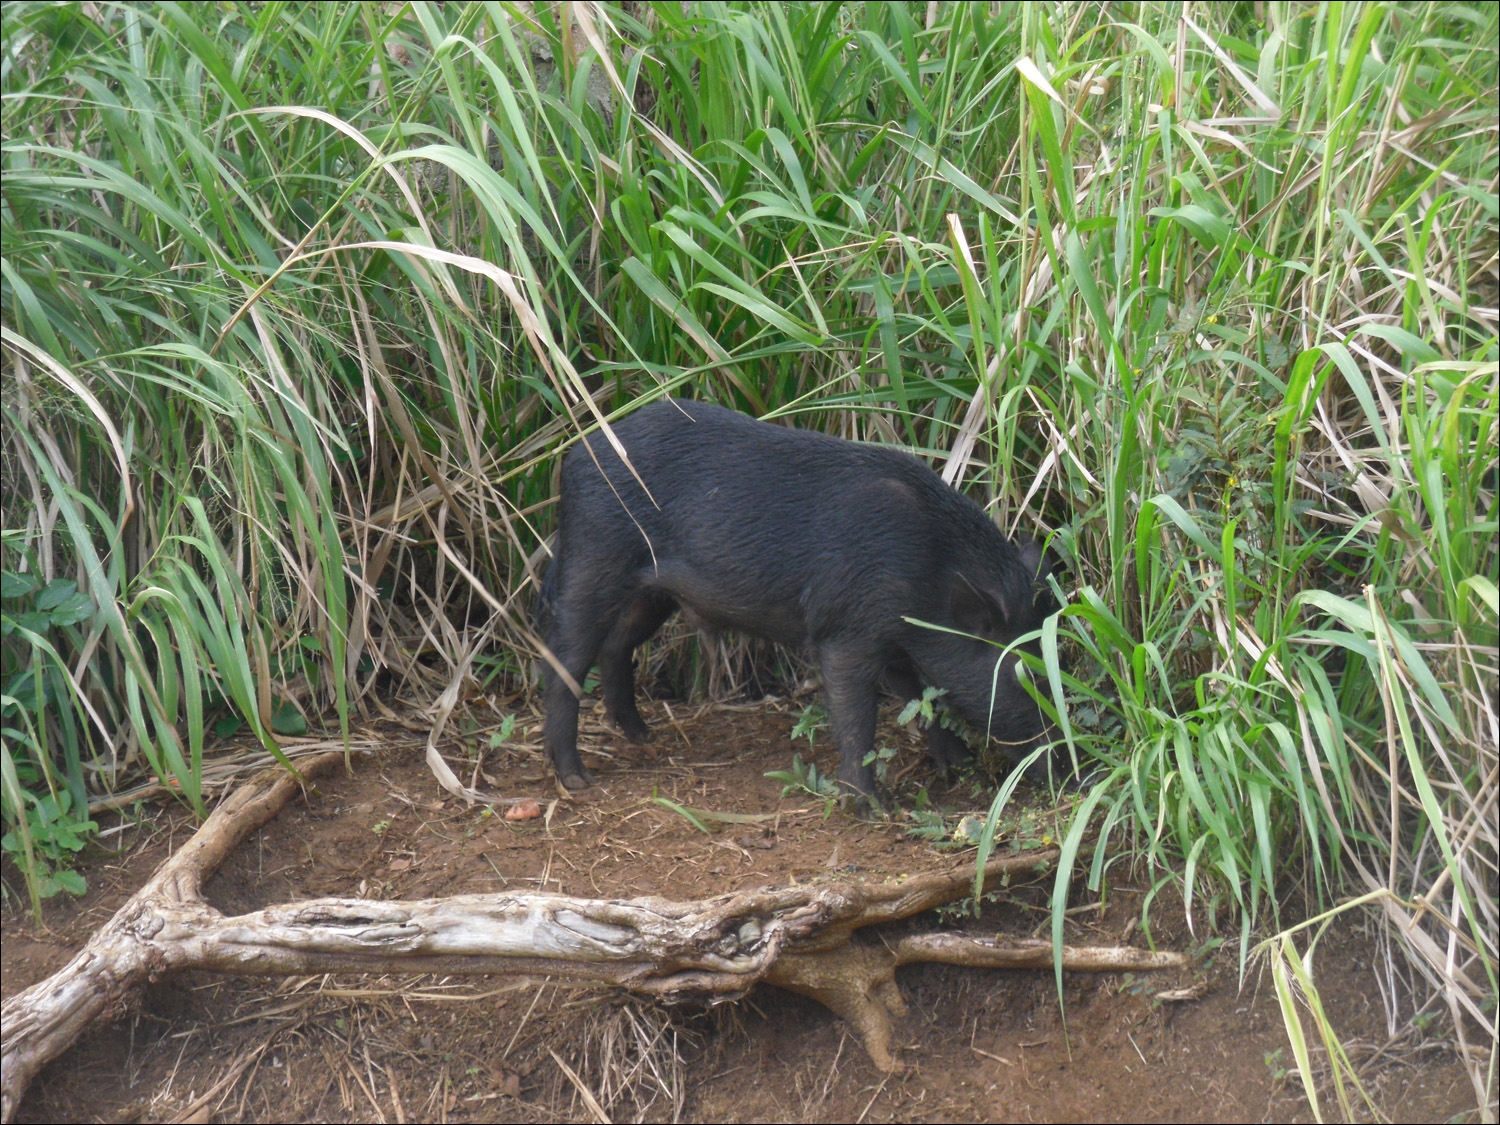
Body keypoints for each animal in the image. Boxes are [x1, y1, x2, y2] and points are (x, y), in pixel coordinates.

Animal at [540, 399, 1056, 804]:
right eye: (1027, 676)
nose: (1067, 774)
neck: (928, 570)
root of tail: (573, 456)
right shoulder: (846, 629)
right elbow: (857, 716)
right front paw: (870, 807)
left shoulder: (889, 636)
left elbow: (919, 696)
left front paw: (959, 765)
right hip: (594, 557)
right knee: (564, 657)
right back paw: (577, 780)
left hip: (654, 592)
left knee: (616, 646)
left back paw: (643, 737)